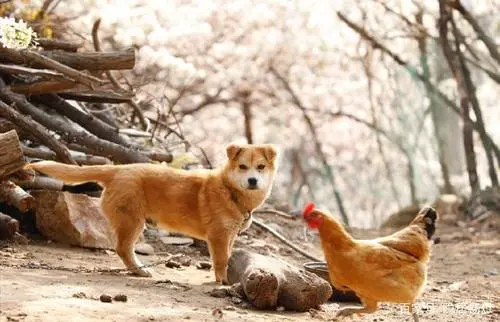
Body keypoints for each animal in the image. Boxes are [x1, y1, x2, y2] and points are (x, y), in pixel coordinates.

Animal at [25, 143, 280, 282]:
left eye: (261, 167)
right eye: (242, 167)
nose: (253, 181)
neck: (230, 191)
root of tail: (117, 169)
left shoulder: (230, 235)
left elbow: (227, 257)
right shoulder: (218, 235)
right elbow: (221, 260)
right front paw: (223, 282)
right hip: (132, 221)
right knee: (123, 249)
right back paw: (140, 271)